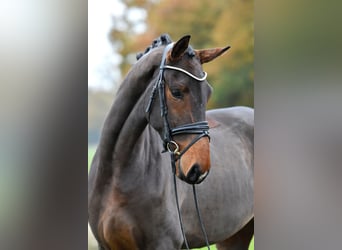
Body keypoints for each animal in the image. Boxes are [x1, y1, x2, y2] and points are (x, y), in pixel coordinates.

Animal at [88, 34, 254, 249]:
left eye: (208, 92)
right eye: (176, 92)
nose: (199, 168)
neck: (117, 172)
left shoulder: (164, 243)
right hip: (234, 236)